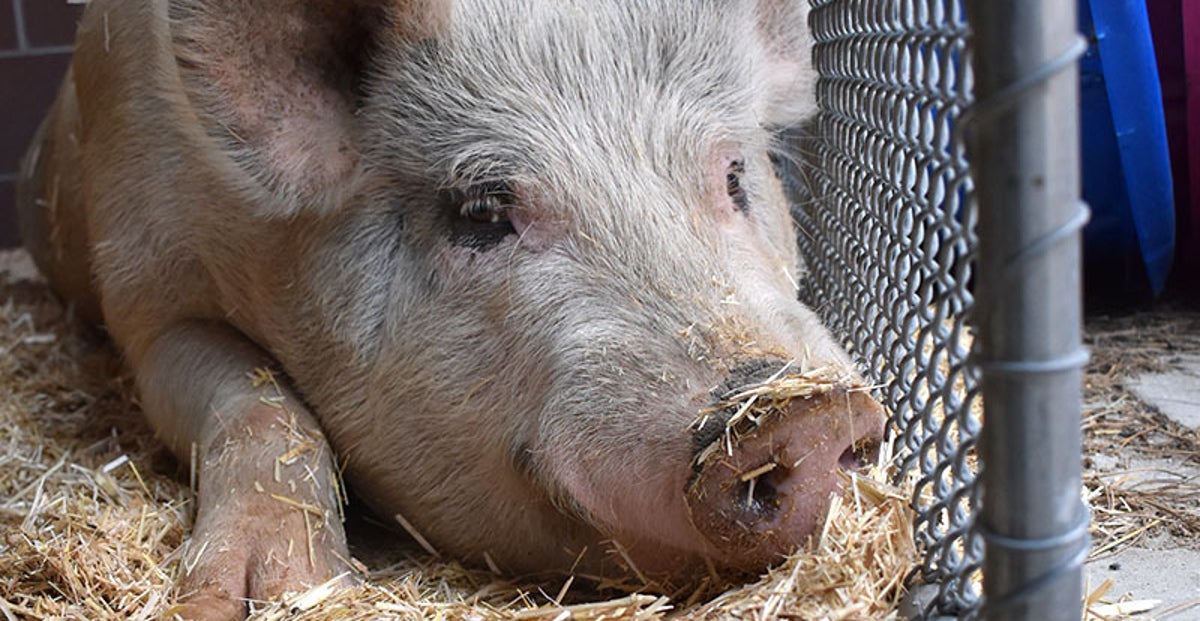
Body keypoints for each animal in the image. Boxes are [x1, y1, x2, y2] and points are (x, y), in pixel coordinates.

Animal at [16, 0, 887, 618]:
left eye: (736, 175)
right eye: (480, 210)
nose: (801, 413)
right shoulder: (142, 290)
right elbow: (255, 397)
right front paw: (258, 600)